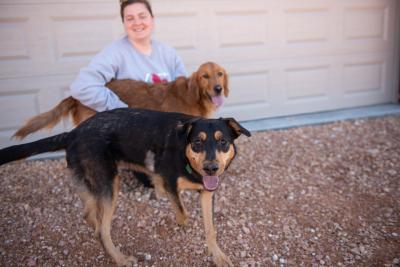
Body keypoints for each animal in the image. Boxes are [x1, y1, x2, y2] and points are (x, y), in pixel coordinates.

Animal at [0, 108, 250, 266]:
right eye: (197, 142)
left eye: (223, 141)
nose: (211, 168)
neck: (186, 157)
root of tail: (72, 133)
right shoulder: (170, 181)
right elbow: (183, 211)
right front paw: (181, 223)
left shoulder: (207, 192)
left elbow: (210, 228)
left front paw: (218, 257)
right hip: (110, 184)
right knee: (102, 229)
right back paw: (120, 258)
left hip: (92, 185)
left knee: (90, 215)